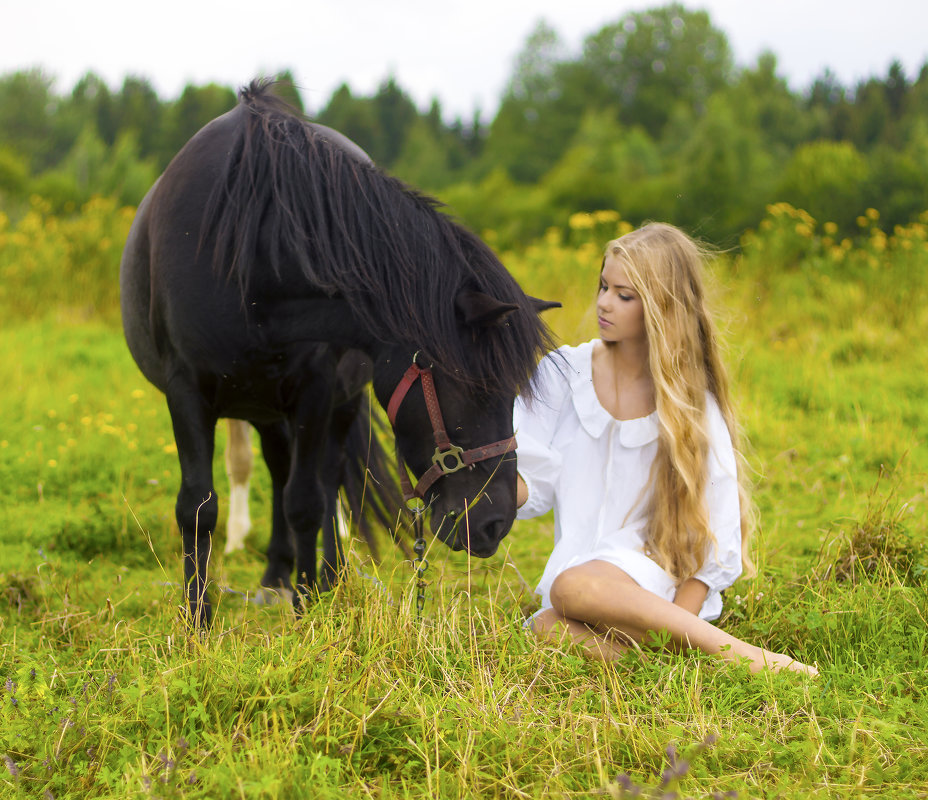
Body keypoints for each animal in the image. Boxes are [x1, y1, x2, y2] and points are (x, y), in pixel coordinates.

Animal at [123, 79, 560, 624]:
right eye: (476, 388)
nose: (496, 522)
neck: (250, 261)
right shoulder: (186, 391)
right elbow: (197, 507)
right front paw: (197, 621)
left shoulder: (316, 389)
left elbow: (307, 501)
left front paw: (309, 606)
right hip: (263, 406)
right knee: (279, 470)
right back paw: (275, 578)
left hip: (328, 402)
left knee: (320, 482)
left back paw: (322, 579)